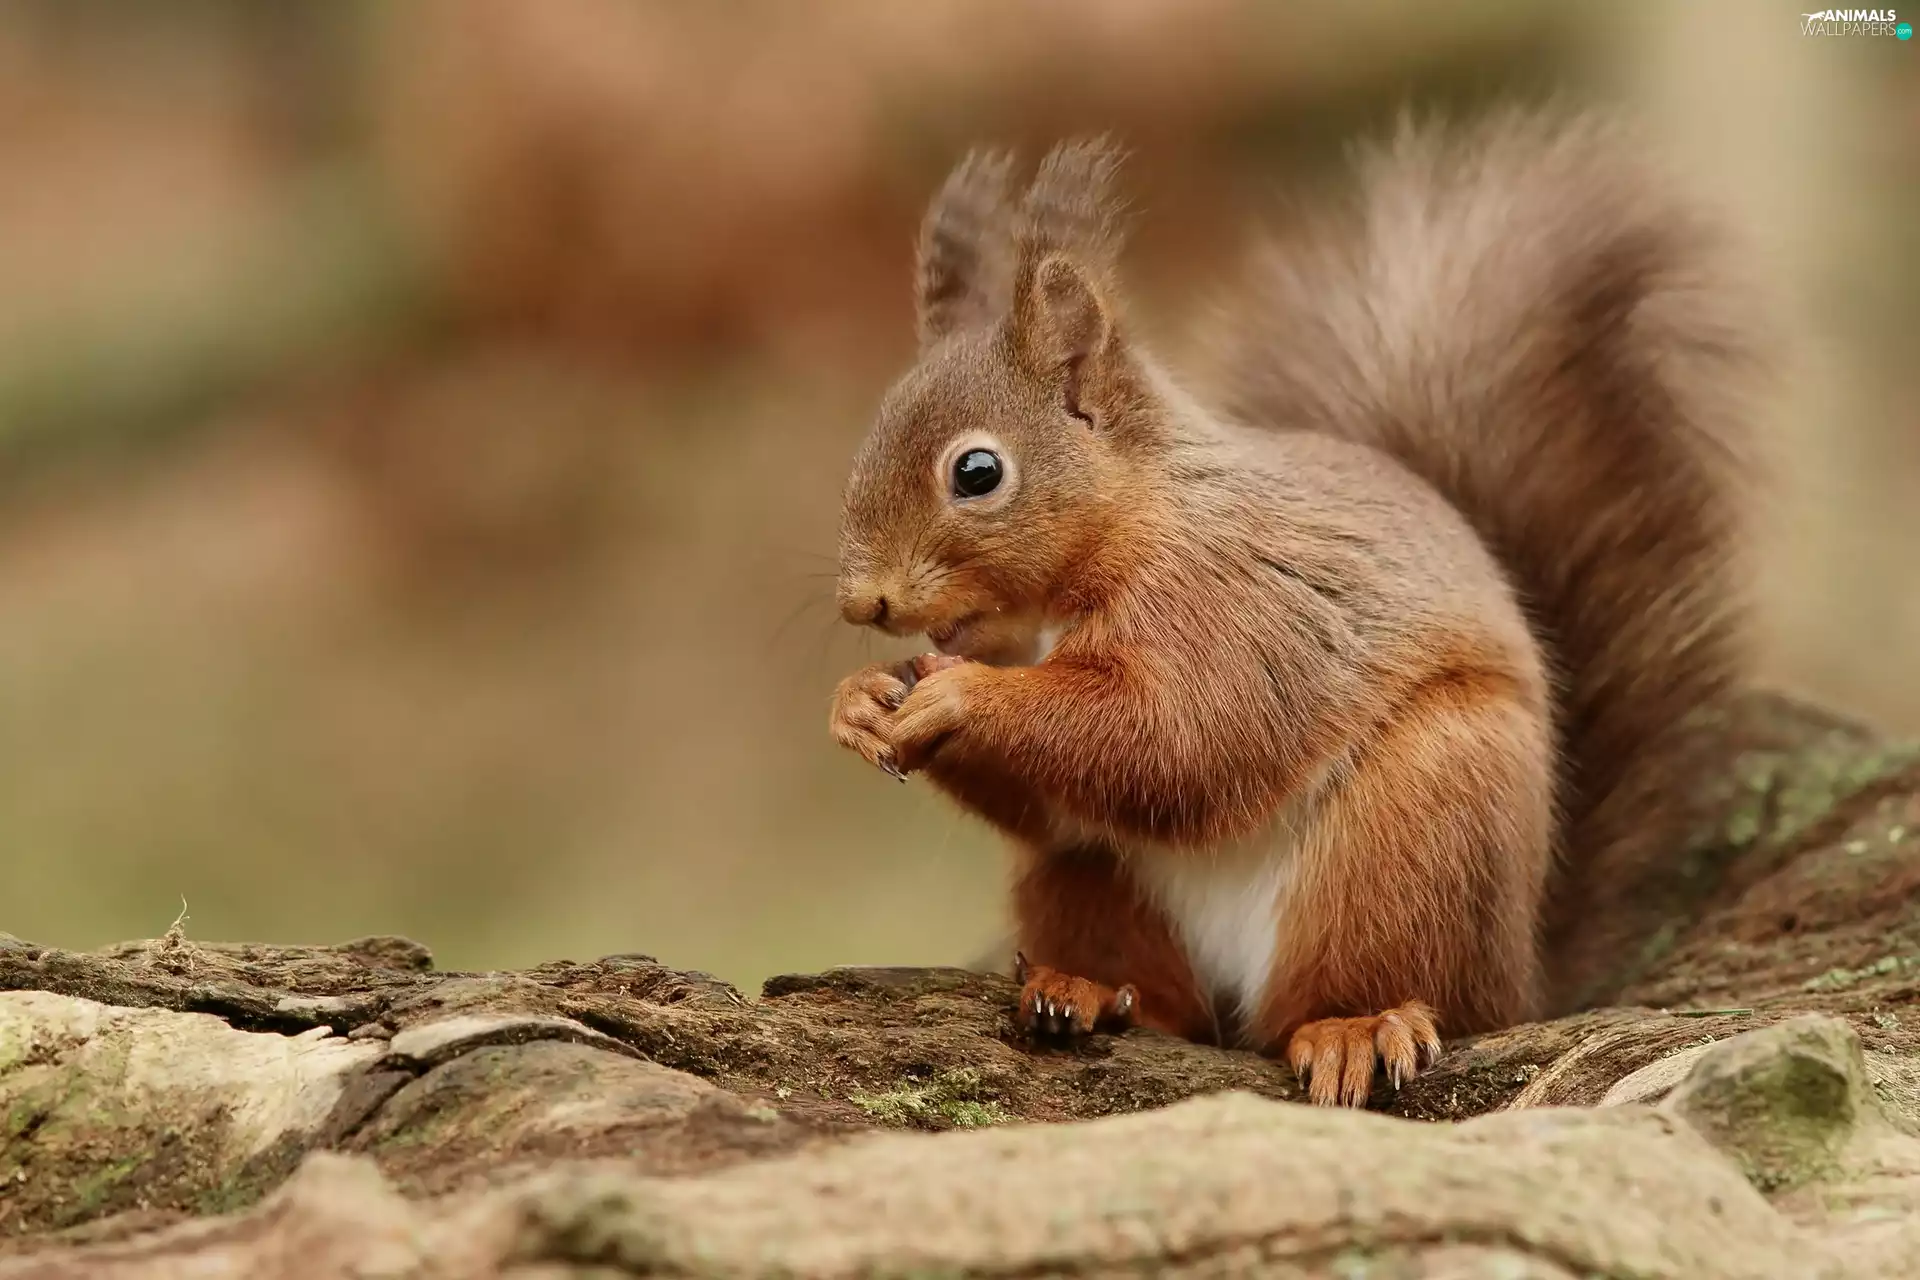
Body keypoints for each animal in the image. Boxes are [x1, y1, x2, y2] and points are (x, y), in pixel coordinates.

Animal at [828, 109, 1762, 1106]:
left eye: (977, 472)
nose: (863, 601)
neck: (1126, 524)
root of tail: (1523, 977)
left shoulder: (1229, 603)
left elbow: (1178, 734)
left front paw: (961, 698)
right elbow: (1057, 794)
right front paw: (859, 702)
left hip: (1420, 825)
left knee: (1348, 995)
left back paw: (1356, 1026)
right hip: (1087, 884)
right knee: (1167, 1000)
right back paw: (1084, 991)